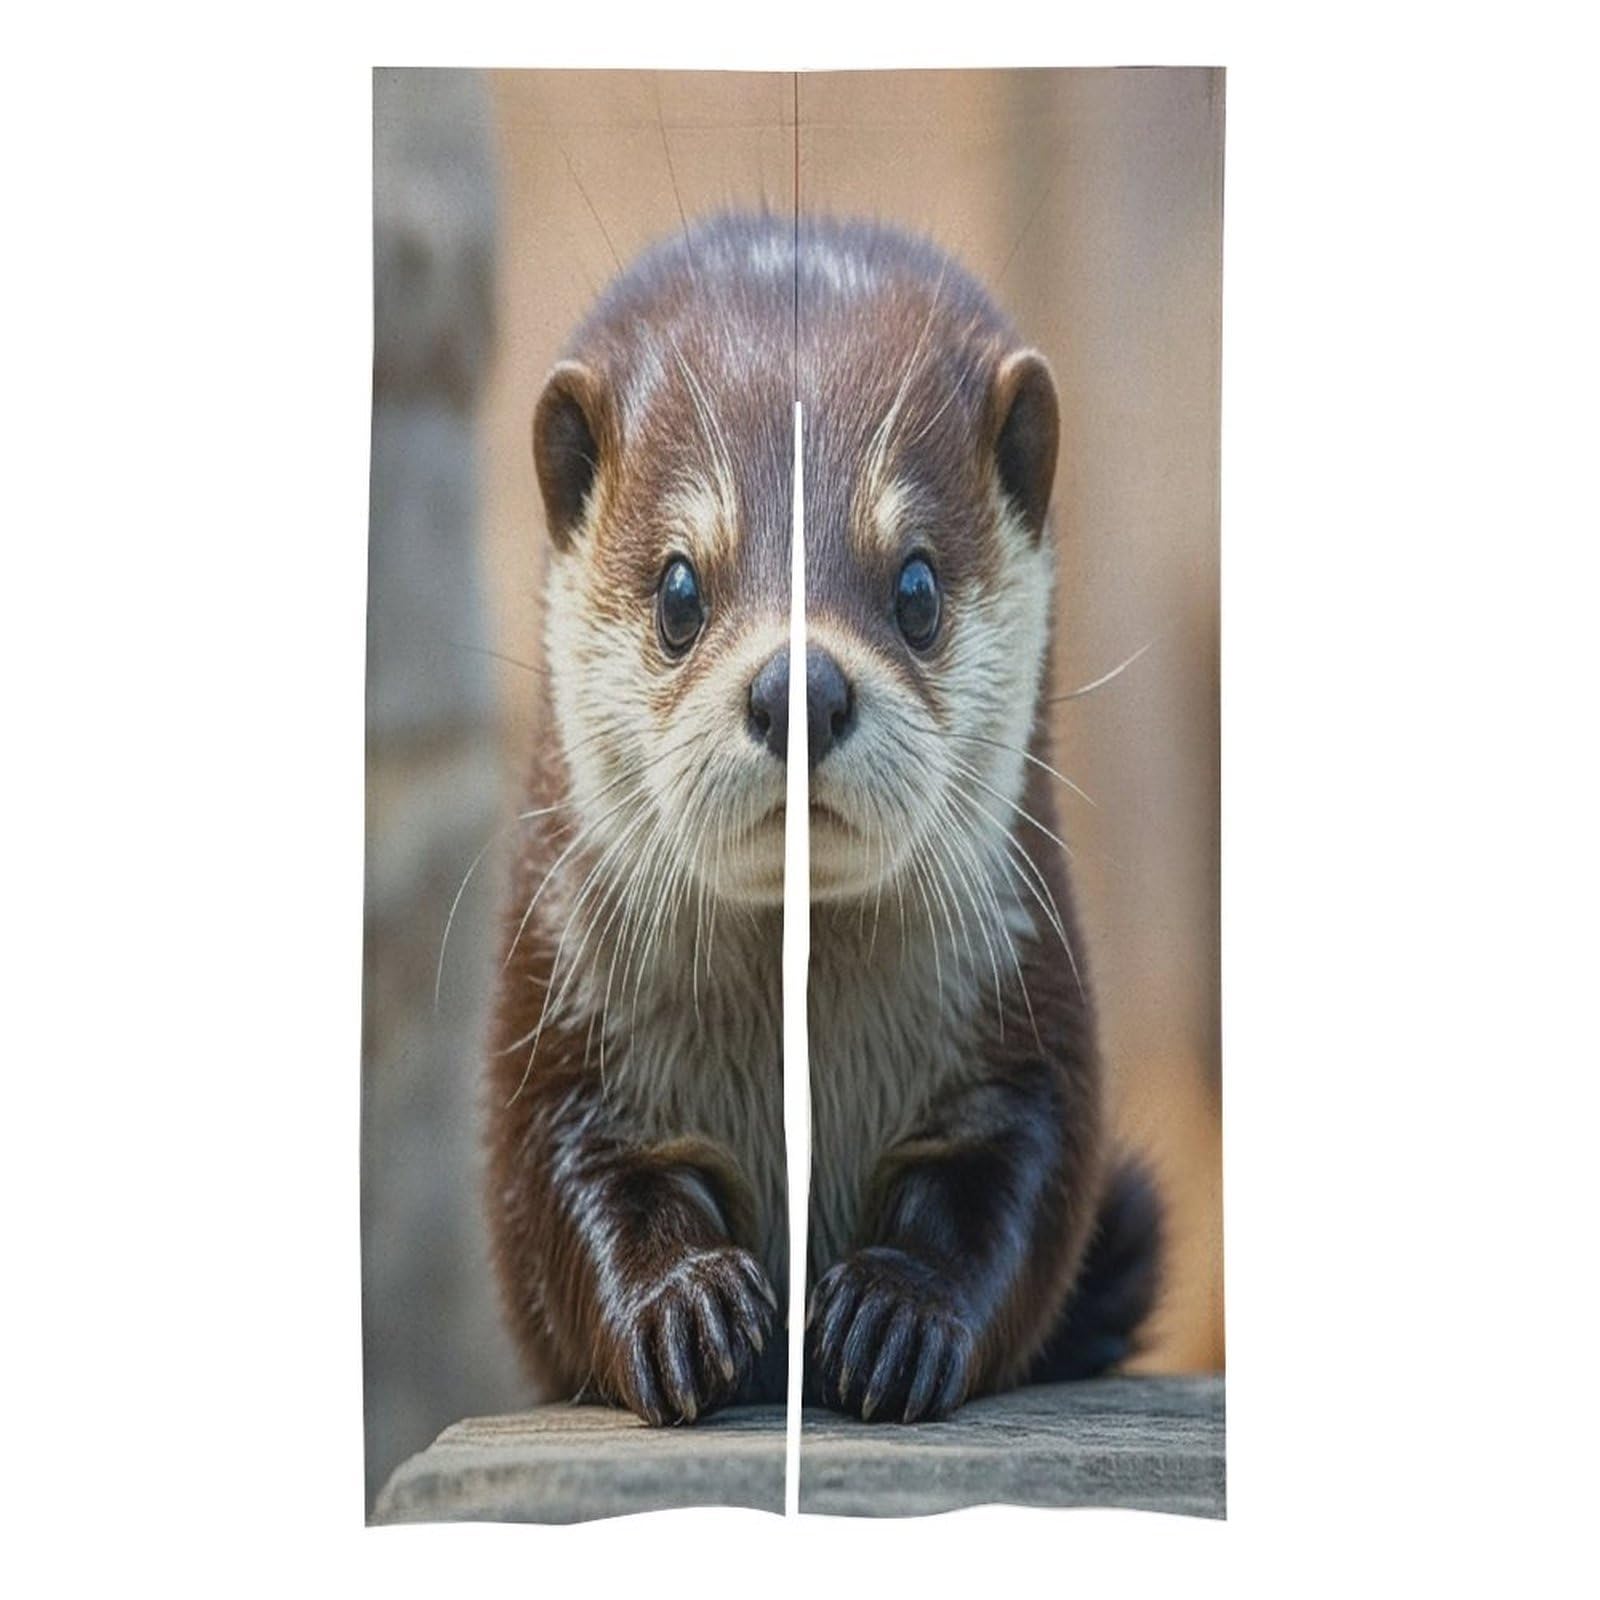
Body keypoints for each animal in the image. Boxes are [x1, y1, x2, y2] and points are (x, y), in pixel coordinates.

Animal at [485, 212, 1161, 1426]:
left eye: (917, 588)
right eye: (678, 590)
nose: (799, 685)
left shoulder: (1030, 1016)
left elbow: (1015, 1189)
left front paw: (895, 1315)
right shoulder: (553, 1025)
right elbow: (565, 1191)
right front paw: (681, 1304)